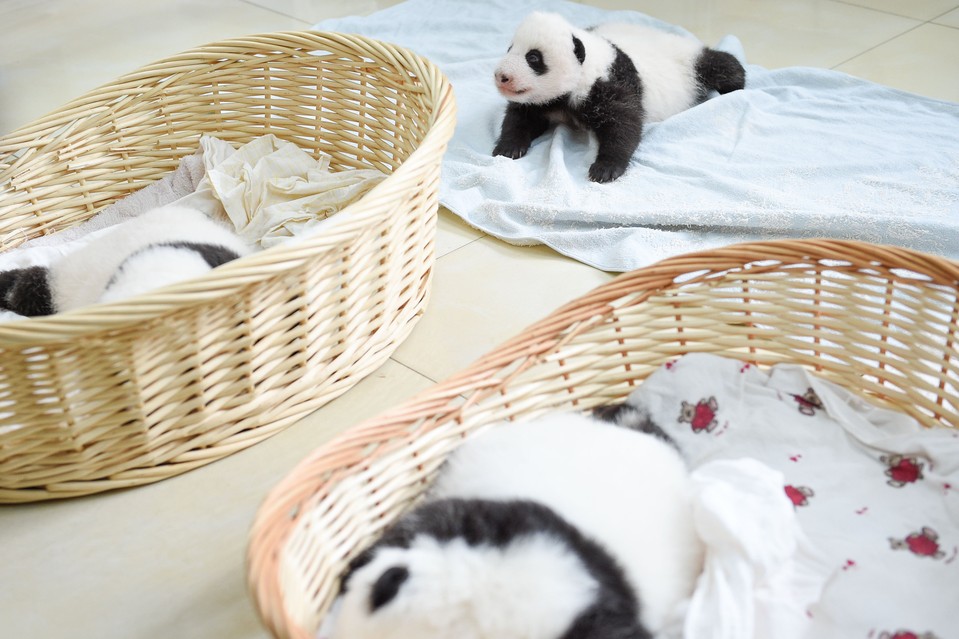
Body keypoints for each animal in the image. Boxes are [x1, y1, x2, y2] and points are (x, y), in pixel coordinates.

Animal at [492, 11, 746, 183]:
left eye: (533, 58)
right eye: (510, 49)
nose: (501, 76)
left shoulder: (609, 84)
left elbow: (623, 124)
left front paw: (605, 168)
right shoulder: (543, 99)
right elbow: (521, 116)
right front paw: (509, 147)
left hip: (689, 63)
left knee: (720, 65)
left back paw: (736, 83)